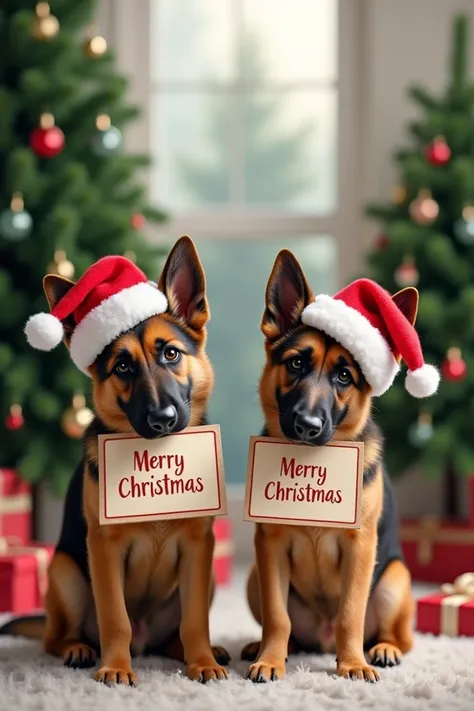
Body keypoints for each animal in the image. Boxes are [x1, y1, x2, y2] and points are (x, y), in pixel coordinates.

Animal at [0, 238, 230, 684]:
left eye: (171, 354)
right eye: (122, 366)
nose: (162, 419)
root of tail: (146, 642)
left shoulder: (199, 548)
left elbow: (195, 621)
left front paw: (202, 662)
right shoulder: (104, 550)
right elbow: (115, 619)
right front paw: (115, 667)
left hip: (205, 578)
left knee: (175, 633)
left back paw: (196, 651)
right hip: (65, 572)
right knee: (55, 637)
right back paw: (78, 649)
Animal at [241, 250, 414, 684]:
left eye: (344, 376)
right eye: (296, 364)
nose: (307, 425)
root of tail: (319, 639)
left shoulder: (360, 549)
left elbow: (351, 615)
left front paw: (352, 664)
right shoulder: (270, 548)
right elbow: (278, 617)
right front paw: (271, 659)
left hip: (394, 580)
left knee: (399, 636)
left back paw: (383, 649)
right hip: (253, 577)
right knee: (288, 628)